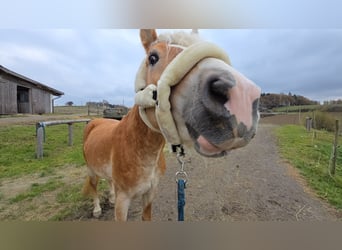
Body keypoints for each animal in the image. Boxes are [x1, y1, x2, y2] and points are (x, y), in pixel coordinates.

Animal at [83, 29, 262, 221]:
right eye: (152, 57)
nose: (242, 97)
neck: (139, 149)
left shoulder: (150, 194)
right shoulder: (123, 201)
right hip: (91, 171)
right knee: (93, 187)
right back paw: (97, 209)